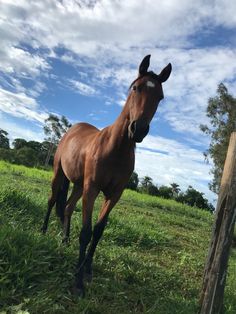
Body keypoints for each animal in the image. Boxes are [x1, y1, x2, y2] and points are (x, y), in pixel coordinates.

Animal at [42, 55, 171, 296]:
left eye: (160, 96)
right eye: (136, 88)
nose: (138, 129)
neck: (114, 149)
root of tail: (72, 130)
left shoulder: (114, 195)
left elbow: (98, 231)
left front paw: (87, 269)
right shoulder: (92, 190)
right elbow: (86, 232)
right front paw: (78, 282)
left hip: (79, 186)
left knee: (67, 207)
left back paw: (65, 240)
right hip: (60, 175)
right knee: (52, 201)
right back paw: (43, 232)